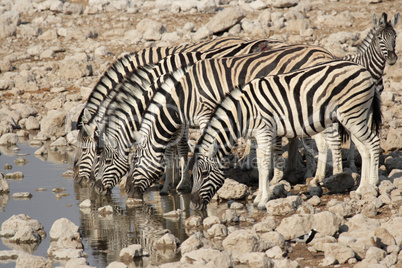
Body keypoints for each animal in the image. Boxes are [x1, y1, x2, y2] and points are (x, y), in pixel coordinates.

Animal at [73, 36, 280, 186]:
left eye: (90, 151)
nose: (83, 182)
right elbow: (171, 145)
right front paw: (171, 180)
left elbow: (178, 146)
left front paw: (180, 182)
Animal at [127, 44, 334, 199]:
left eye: (135, 160)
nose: (128, 193)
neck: (184, 96)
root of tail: (324, 51)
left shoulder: (206, 114)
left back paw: (315, 176)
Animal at [191, 59, 380, 210]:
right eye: (193, 174)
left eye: (204, 174)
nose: (193, 203)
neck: (243, 113)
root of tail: (364, 70)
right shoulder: (256, 137)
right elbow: (260, 164)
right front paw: (259, 198)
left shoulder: (264, 132)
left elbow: (264, 166)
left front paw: (263, 200)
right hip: (354, 118)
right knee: (364, 150)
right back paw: (362, 189)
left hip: (354, 116)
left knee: (374, 143)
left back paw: (373, 184)